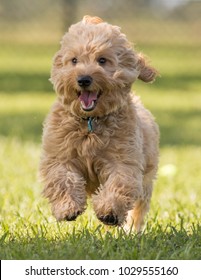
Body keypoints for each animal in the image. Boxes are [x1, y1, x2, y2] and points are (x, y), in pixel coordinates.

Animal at [38, 15, 159, 232]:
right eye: (74, 60)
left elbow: (119, 183)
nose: (83, 79)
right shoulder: (59, 156)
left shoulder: (124, 161)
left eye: (102, 60)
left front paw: (109, 212)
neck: (90, 123)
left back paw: (130, 230)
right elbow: (62, 179)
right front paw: (68, 207)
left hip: (146, 181)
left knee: (138, 209)